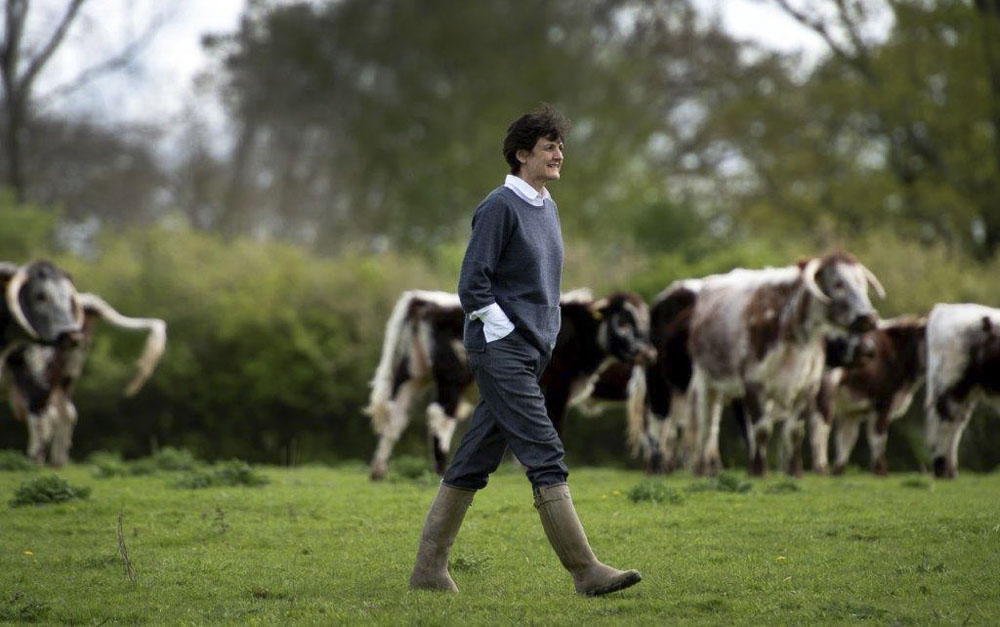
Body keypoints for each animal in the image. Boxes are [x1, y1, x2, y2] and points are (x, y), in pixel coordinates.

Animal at [368, 290, 656, 480]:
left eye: (645, 321)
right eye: (623, 321)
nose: (648, 353)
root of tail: (426, 300)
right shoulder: (557, 388)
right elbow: (552, 426)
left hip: (411, 375)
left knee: (394, 418)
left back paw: (379, 471)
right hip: (451, 379)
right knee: (440, 417)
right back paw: (440, 468)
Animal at [688, 253, 884, 478]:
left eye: (863, 284)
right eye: (838, 283)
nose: (869, 317)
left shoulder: (807, 388)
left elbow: (795, 431)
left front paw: (794, 470)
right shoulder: (754, 384)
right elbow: (761, 430)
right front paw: (758, 470)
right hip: (705, 382)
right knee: (706, 425)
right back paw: (702, 467)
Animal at [808, 318, 924, 476]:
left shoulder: (851, 411)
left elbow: (846, 437)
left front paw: (839, 469)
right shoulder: (883, 401)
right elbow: (878, 436)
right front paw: (880, 470)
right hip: (825, 388)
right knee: (820, 426)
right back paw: (821, 467)